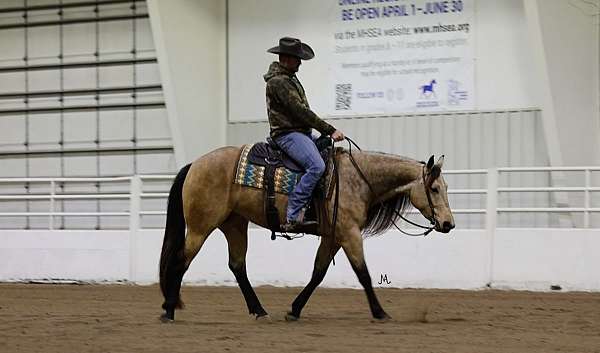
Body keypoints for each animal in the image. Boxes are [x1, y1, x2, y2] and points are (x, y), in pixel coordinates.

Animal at [159, 140, 454, 322]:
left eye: (446, 188)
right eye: (434, 188)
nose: (448, 223)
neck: (357, 179)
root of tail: (194, 165)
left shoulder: (333, 236)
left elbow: (318, 273)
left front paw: (294, 310)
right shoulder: (349, 234)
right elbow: (363, 274)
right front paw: (380, 312)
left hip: (234, 224)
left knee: (237, 265)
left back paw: (259, 310)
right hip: (200, 227)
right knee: (181, 261)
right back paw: (169, 311)